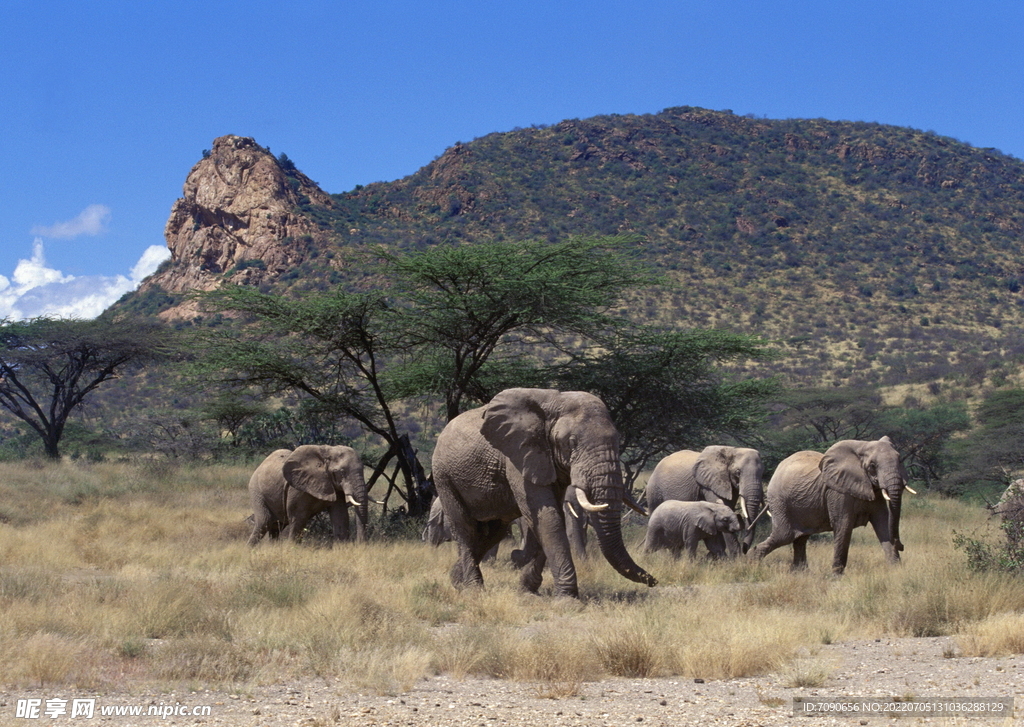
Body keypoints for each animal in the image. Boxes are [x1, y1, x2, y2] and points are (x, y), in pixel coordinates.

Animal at [430, 387, 655, 597]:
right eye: (571, 443)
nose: (653, 580)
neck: (556, 401)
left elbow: (550, 516)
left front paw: (527, 591)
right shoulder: (518, 454)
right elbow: (547, 517)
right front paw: (567, 599)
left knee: (493, 532)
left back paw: (457, 580)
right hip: (443, 477)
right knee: (465, 528)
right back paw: (473, 589)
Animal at [749, 438, 909, 573]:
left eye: (900, 459)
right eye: (872, 466)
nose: (901, 546)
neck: (862, 446)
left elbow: (883, 523)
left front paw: (895, 571)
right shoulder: (837, 492)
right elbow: (843, 525)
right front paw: (835, 576)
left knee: (800, 538)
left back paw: (800, 573)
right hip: (780, 502)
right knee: (785, 535)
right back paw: (752, 564)